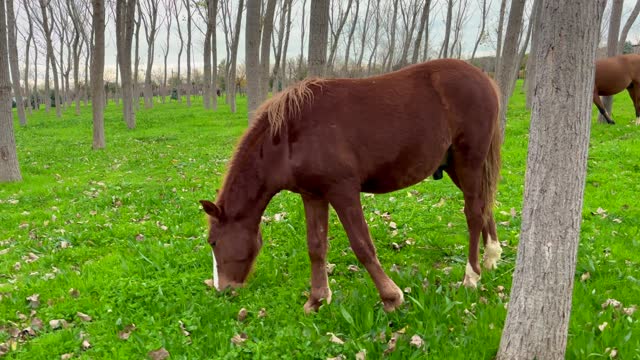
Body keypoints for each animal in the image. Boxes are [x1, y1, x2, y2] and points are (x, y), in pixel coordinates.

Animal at [198, 59, 502, 312]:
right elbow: (316, 246)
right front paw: (317, 299)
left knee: (474, 213)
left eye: (213, 241)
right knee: (484, 204)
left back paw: (471, 276)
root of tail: (484, 79)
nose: (222, 290)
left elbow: (362, 245)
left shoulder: (342, 191)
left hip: (469, 161)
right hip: (454, 166)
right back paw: (491, 256)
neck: (288, 137)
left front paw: (391, 297)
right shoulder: (313, 195)